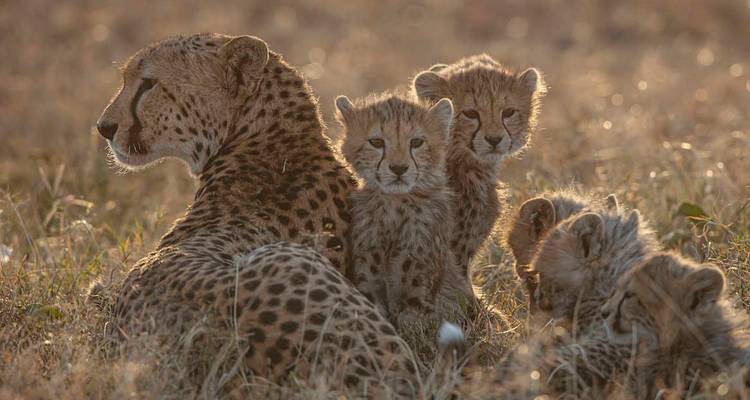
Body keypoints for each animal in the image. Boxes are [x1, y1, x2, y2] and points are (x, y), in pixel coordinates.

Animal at [335, 93, 475, 331]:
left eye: (416, 142)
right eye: (376, 142)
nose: (399, 168)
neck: (395, 203)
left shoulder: (418, 252)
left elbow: (416, 299)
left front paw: (413, 323)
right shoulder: (368, 251)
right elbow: (370, 291)